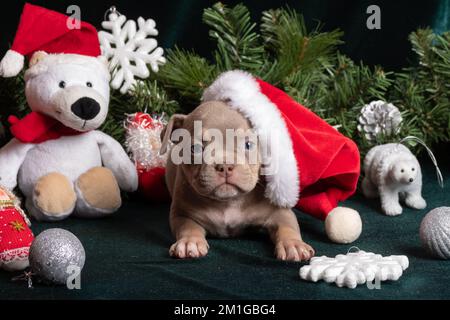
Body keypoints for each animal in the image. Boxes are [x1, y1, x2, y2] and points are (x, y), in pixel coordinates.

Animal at [161, 101, 312, 262]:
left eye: (248, 145)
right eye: (195, 148)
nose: (225, 166)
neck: (228, 201)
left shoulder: (279, 212)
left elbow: (287, 226)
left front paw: (294, 244)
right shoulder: (182, 214)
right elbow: (188, 227)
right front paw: (190, 242)